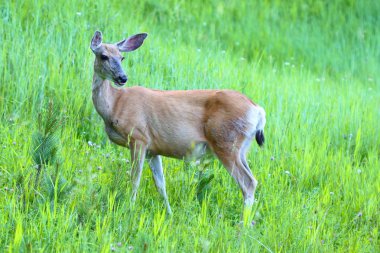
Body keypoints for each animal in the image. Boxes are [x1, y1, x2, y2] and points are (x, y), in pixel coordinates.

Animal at [90, 30, 266, 214]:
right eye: (104, 56)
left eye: (121, 57)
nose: (122, 77)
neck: (115, 104)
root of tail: (258, 110)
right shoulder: (153, 149)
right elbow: (161, 185)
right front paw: (169, 213)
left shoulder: (139, 137)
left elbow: (134, 179)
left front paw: (129, 208)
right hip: (242, 148)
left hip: (225, 142)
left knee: (248, 183)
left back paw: (243, 221)